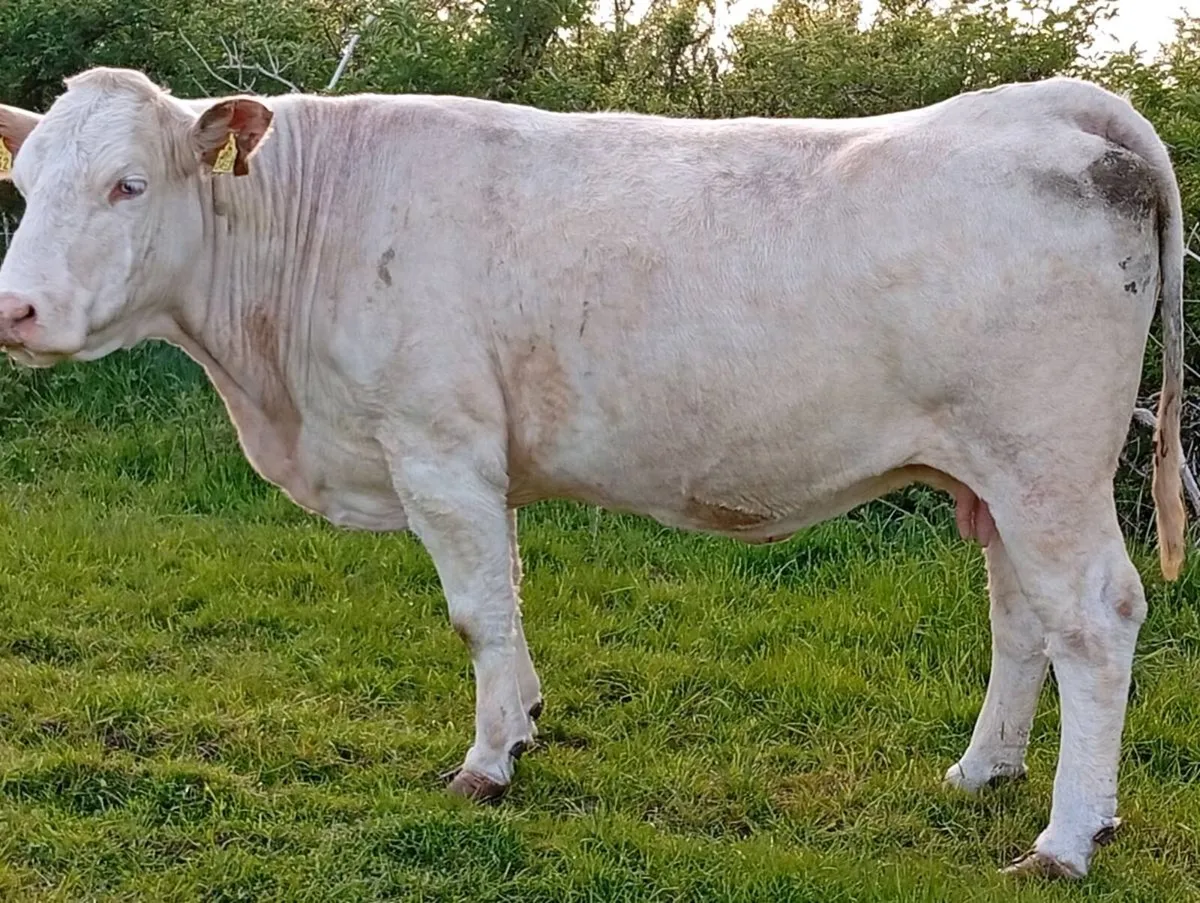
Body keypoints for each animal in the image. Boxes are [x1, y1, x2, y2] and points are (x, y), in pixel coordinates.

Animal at [0, 66, 1185, 878]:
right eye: (21, 182)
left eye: (127, 184)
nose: (16, 308)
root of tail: (1057, 105)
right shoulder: (485, 467)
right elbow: (513, 600)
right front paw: (523, 720)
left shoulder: (438, 449)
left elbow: (478, 612)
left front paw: (486, 763)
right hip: (994, 477)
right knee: (1022, 619)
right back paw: (983, 771)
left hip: (1047, 463)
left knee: (1094, 619)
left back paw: (1068, 835)